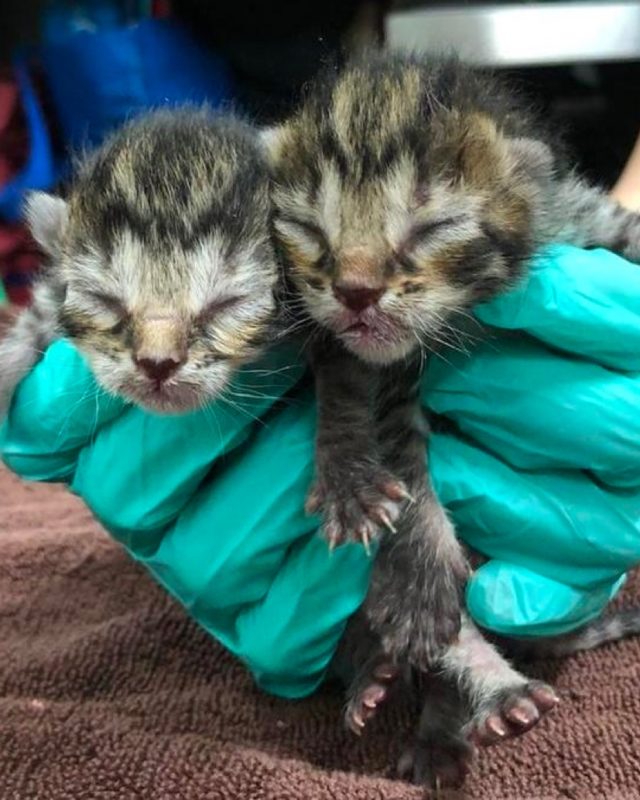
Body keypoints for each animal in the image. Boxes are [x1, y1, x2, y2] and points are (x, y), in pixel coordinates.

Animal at [264, 51, 640, 788]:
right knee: (448, 640)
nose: (355, 291)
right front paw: (412, 575)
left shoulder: (578, 214)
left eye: (432, 229)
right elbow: (401, 472)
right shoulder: (382, 380)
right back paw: (461, 695)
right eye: (310, 231)